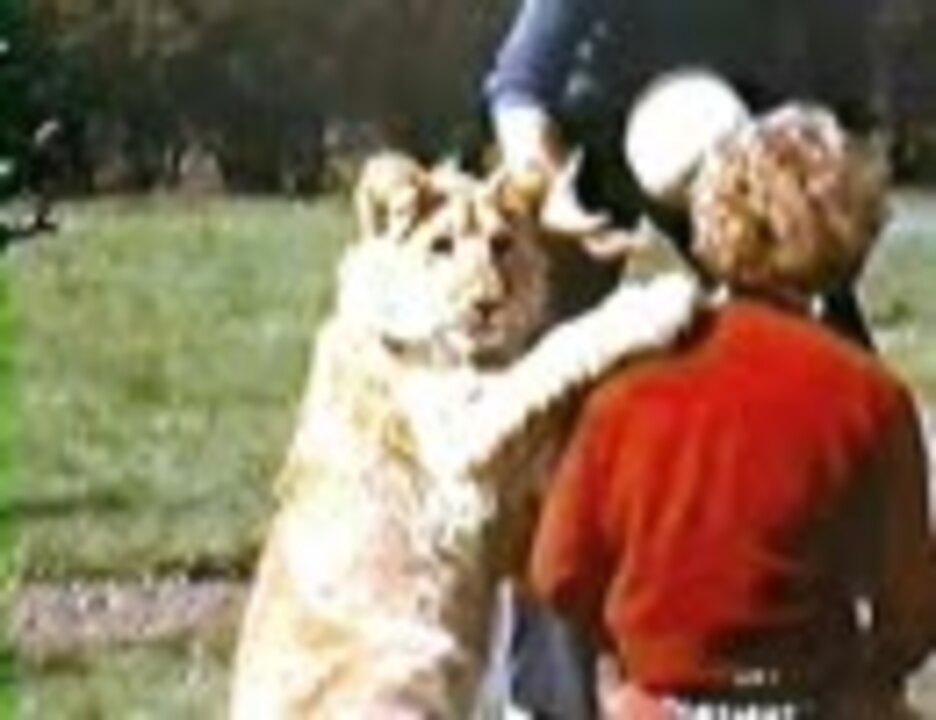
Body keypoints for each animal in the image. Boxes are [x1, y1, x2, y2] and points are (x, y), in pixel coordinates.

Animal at [229, 152, 700, 719]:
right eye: (440, 246)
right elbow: (550, 352)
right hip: (406, 670)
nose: (487, 304)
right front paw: (656, 303)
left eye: (502, 243)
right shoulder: (458, 446)